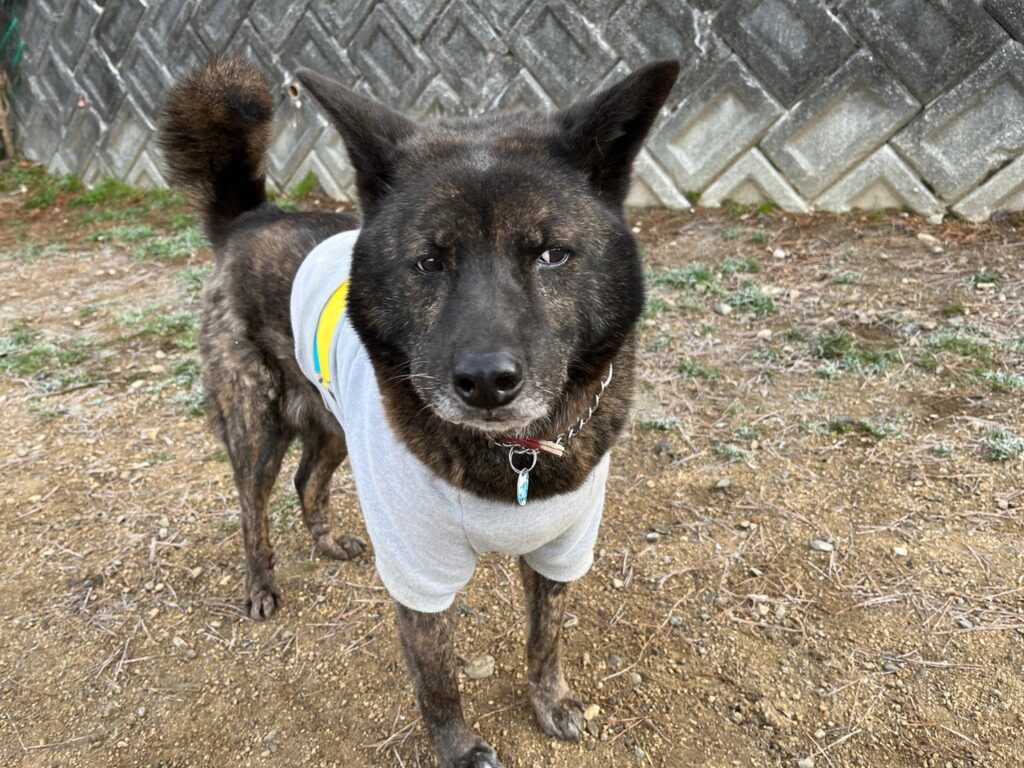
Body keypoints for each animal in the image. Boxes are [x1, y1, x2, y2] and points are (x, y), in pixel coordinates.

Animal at [160, 54, 678, 768]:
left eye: (551, 254)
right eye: (429, 262)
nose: (486, 382)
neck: (514, 458)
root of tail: (251, 219)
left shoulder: (561, 548)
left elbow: (545, 638)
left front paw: (551, 702)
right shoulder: (418, 569)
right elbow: (437, 680)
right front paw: (459, 750)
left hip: (334, 428)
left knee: (307, 479)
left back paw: (328, 543)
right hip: (254, 425)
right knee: (252, 508)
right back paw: (260, 585)